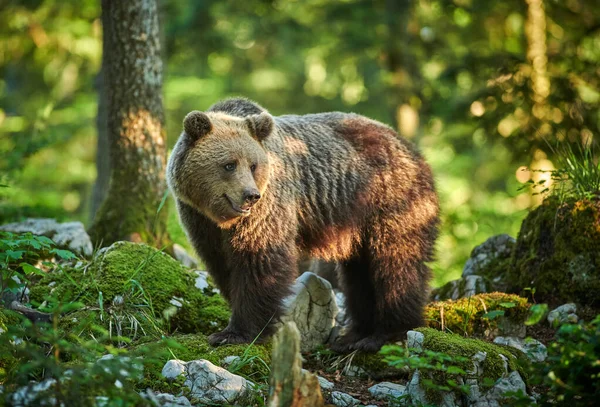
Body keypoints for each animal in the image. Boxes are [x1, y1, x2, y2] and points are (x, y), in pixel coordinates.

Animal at [166, 99, 438, 354]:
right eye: (229, 164)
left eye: (253, 165)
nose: (251, 195)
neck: (221, 217)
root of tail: (412, 150)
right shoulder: (200, 220)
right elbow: (221, 264)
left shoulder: (267, 209)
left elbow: (259, 261)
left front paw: (237, 333)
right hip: (358, 219)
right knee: (359, 273)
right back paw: (354, 336)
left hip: (390, 200)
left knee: (395, 263)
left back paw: (384, 334)